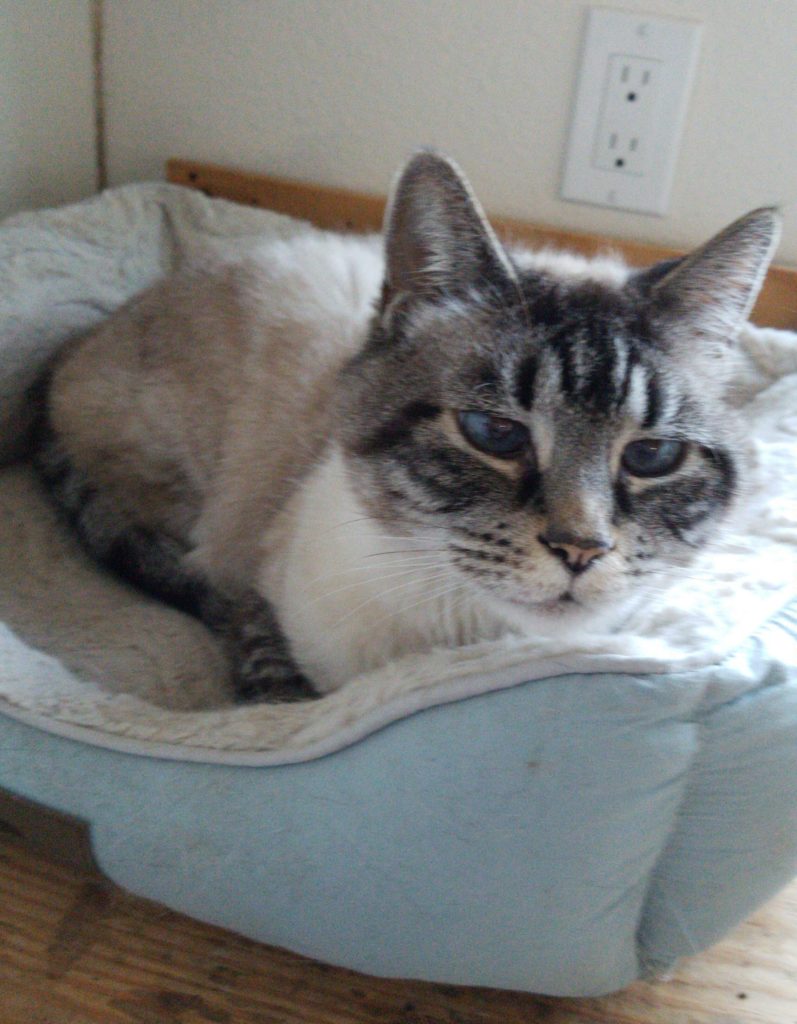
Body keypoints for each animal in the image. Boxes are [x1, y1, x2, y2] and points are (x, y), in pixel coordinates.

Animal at [30, 151, 774, 700]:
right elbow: (276, 667)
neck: (471, 643)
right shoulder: (265, 601)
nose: (581, 550)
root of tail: (83, 335)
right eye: (492, 433)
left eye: (651, 456)